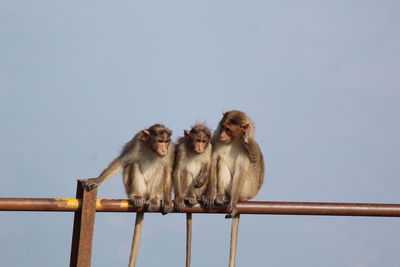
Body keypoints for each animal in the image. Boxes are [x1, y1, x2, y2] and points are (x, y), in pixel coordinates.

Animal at [80, 124, 174, 267]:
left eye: (166, 141)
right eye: (159, 141)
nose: (164, 149)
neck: (151, 150)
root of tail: (146, 196)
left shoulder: (170, 151)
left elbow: (168, 169)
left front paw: (168, 201)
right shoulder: (136, 144)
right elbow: (122, 161)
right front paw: (97, 179)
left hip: (152, 191)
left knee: (161, 168)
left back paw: (154, 200)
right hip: (134, 189)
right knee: (132, 164)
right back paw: (136, 197)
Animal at [173, 124, 214, 267]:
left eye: (203, 141)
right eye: (197, 140)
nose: (200, 148)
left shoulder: (209, 148)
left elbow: (208, 165)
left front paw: (201, 179)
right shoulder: (181, 150)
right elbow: (177, 171)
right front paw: (178, 199)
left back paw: (202, 197)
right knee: (186, 173)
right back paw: (188, 197)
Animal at [205, 111, 264, 267]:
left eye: (229, 130)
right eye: (223, 127)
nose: (222, 135)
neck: (233, 141)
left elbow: (242, 167)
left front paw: (246, 138)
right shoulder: (216, 138)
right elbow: (213, 160)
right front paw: (211, 193)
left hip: (248, 189)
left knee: (248, 166)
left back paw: (234, 199)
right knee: (221, 161)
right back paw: (221, 195)